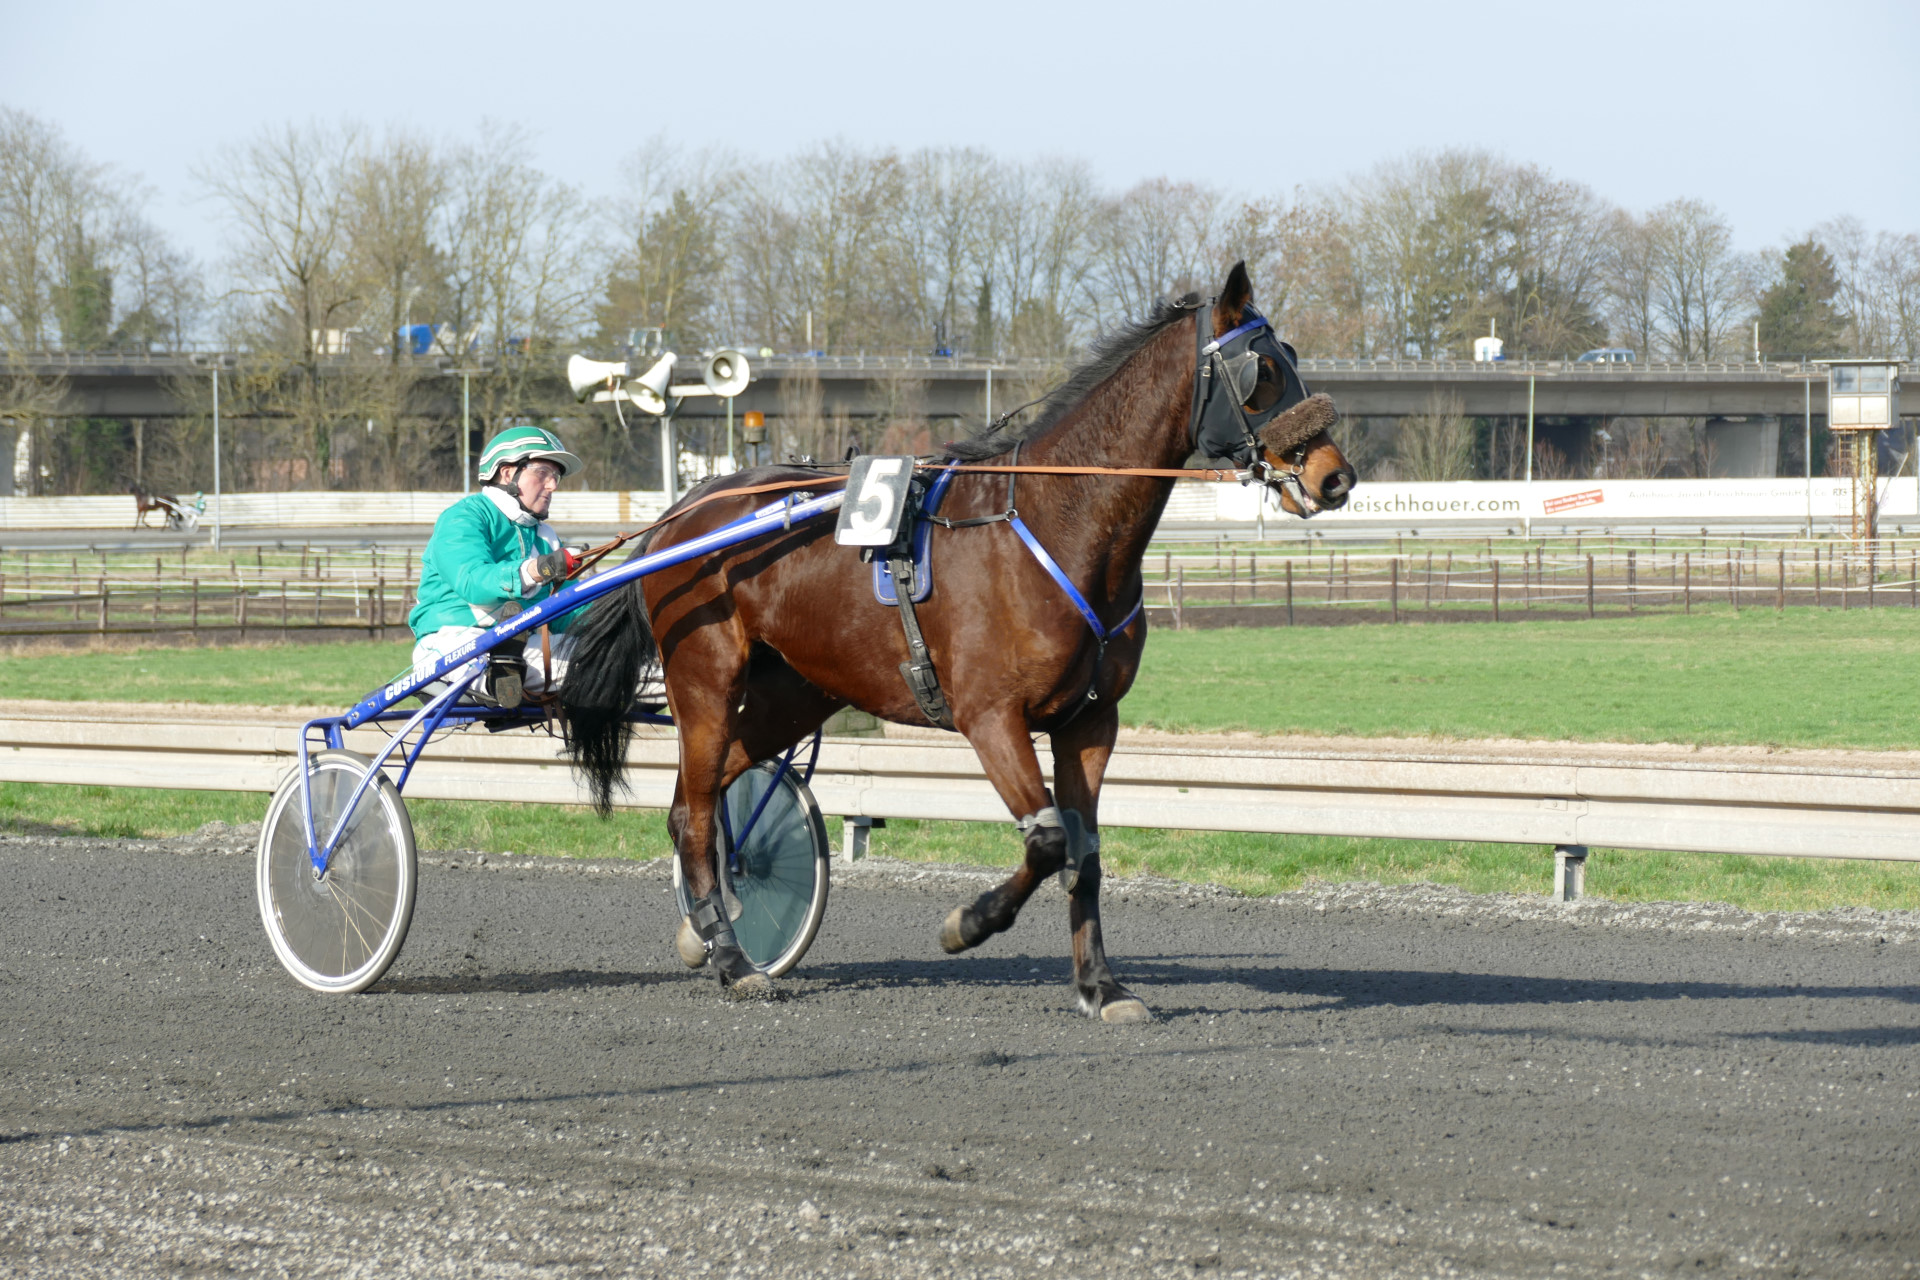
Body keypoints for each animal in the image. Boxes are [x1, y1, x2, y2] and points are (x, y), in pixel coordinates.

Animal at [560, 262, 1355, 1020]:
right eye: (1262, 370)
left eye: (1290, 358)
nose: (1335, 476)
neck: (1055, 520)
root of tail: (683, 512)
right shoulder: (990, 714)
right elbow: (1048, 840)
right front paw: (966, 923)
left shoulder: (1090, 721)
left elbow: (1086, 855)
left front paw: (1101, 987)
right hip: (707, 679)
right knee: (696, 813)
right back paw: (732, 960)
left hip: (795, 692)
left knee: (701, 797)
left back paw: (705, 929)